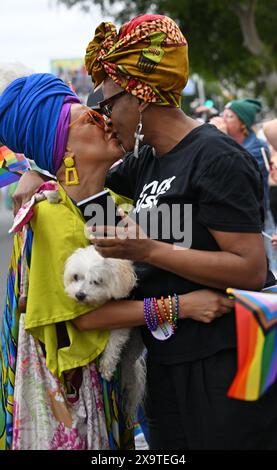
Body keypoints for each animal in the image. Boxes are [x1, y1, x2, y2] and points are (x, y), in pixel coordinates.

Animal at [62, 244, 144, 420]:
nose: (79, 295)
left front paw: (107, 366)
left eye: (97, 281)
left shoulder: (123, 320)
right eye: (76, 277)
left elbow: (115, 340)